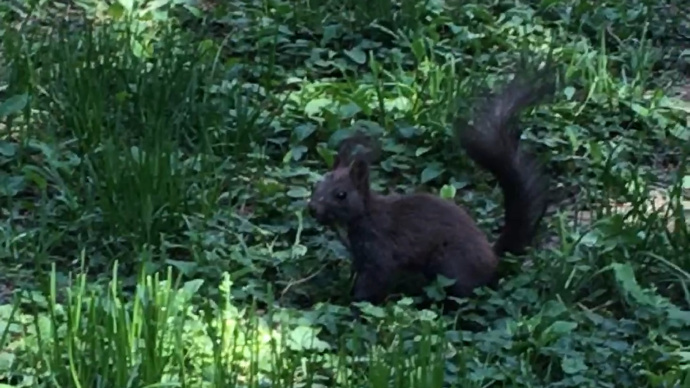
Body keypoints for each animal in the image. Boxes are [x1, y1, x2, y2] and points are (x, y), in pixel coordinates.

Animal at [306, 63, 552, 312]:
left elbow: (375, 281)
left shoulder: (379, 251)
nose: (312, 209)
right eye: (317, 185)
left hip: (450, 265)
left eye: (341, 195)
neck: (364, 215)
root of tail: (493, 259)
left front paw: (355, 305)